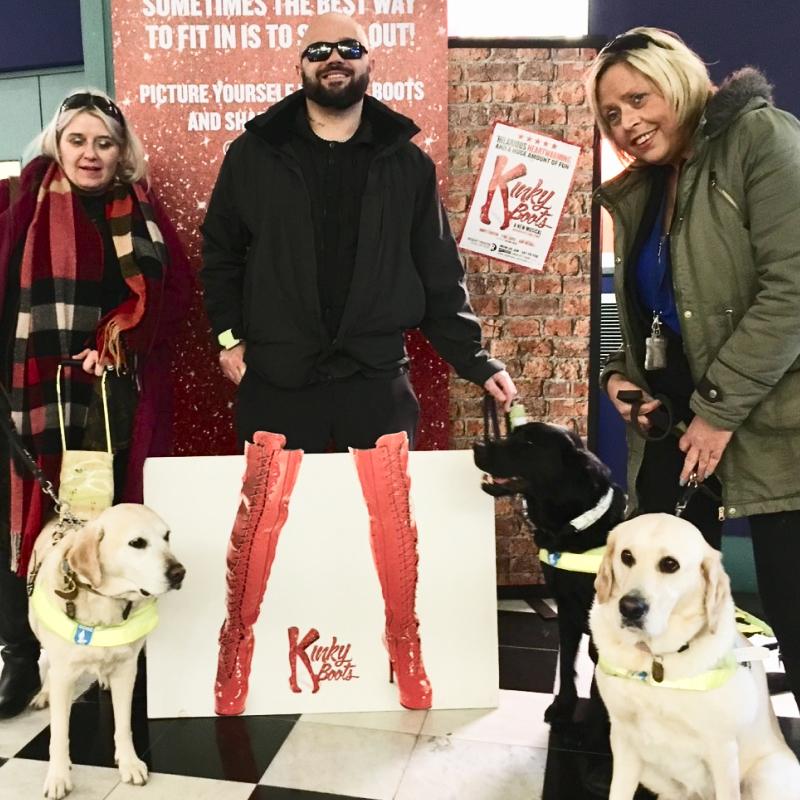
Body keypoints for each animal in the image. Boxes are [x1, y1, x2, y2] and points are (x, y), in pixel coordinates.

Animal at [26, 504, 186, 796]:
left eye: (167, 536)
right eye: (137, 543)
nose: (179, 572)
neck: (104, 600)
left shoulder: (127, 669)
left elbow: (123, 724)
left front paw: (129, 763)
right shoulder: (64, 676)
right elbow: (59, 734)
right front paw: (58, 776)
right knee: (49, 668)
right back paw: (44, 693)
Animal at [476, 406, 624, 732]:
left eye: (530, 444)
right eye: (512, 432)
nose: (477, 445)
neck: (574, 526)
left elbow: (597, 676)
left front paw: (594, 722)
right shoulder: (566, 609)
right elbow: (567, 662)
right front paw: (563, 705)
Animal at [592, 512, 800, 800]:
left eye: (670, 564)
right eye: (626, 556)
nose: (631, 607)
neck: (657, 659)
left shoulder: (723, 751)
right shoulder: (623, 739)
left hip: (767, 775)